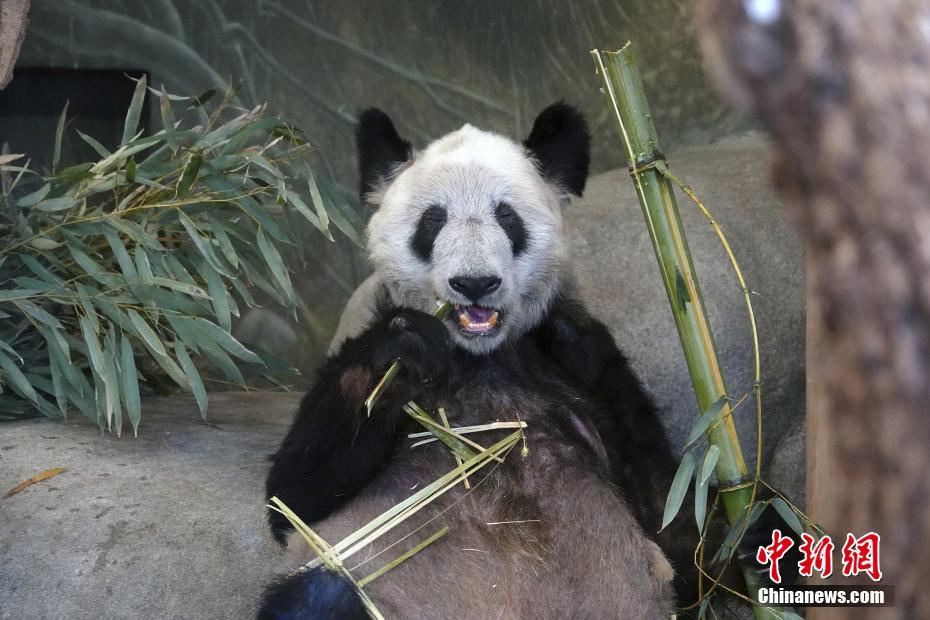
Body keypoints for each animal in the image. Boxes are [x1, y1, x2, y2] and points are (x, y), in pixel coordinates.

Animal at [256, 104, 732, 616]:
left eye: (507, 217)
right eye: (432, 221)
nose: (474, 283)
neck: (479, 356)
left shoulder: (583, 362)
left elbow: (667, 507)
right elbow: (295, 495)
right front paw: (403, 352)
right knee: (319, 595)